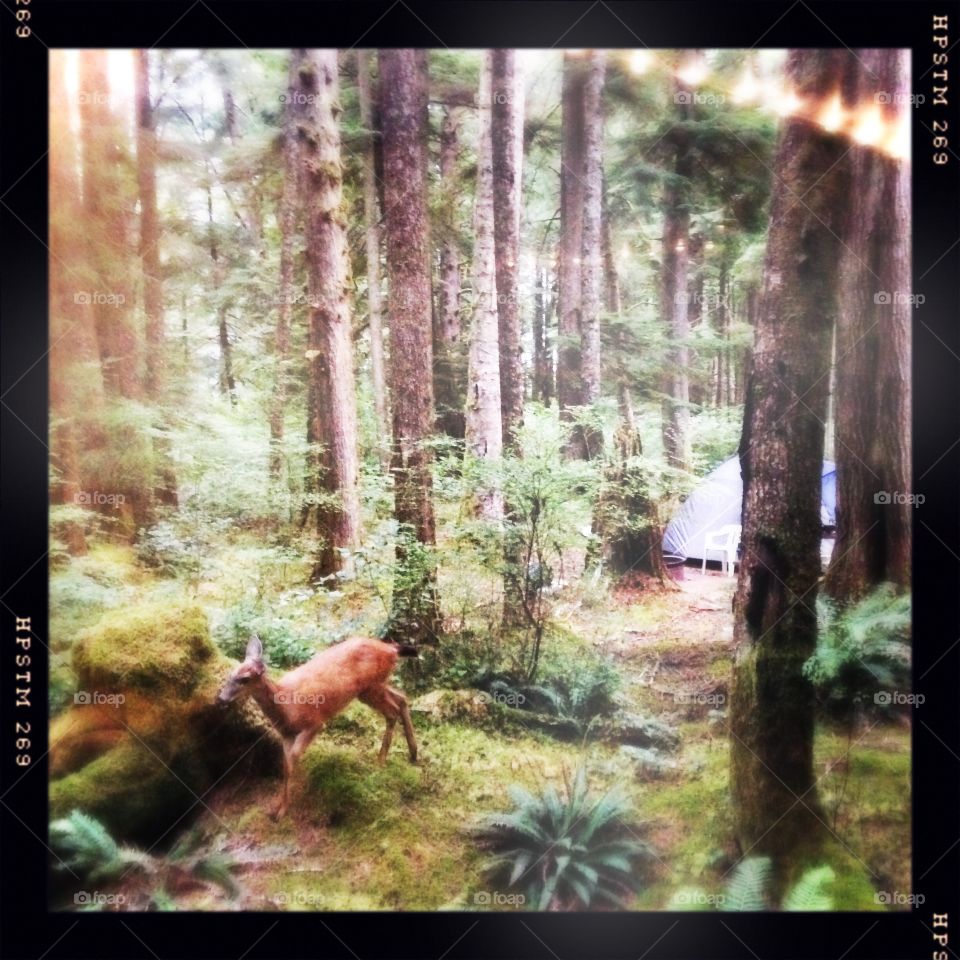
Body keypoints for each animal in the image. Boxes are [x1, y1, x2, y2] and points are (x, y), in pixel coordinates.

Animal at [217, 635, 418, 819]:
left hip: (371, 686)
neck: (286, 708)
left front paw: (282, 811)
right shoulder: (286, 735)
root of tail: (391, 649)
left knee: (393, 711)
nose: (221, 698)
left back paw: (381, 761)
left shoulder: (314, 723)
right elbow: (285, 766)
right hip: (374, 687)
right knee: (402, 698)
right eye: (231, 674)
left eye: (245, 679)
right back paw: (413, 754)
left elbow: (293, 761)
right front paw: (277, 807)